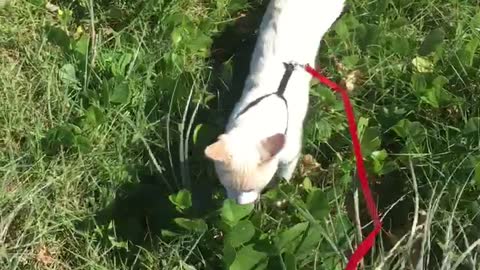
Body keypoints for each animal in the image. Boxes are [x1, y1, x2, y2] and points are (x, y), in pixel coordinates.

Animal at [204, 0, 344, 204]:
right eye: (228, 187)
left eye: (251, 188)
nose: (239, 206)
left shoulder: (291, 154)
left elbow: (284, 177)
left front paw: (281, 194)